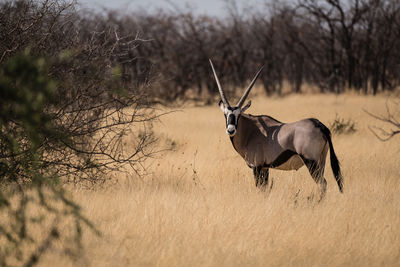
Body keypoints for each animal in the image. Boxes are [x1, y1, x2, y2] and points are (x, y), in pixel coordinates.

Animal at [209, 59, 344, 198]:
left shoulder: (257, 167)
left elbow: (260, 188)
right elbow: (264, 189)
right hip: (321, 160)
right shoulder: (265, 168)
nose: (231, 130)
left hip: (311, 161)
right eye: (225, 114)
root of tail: (319, 125)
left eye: (239, 115)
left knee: (322, 183)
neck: (251, 132)